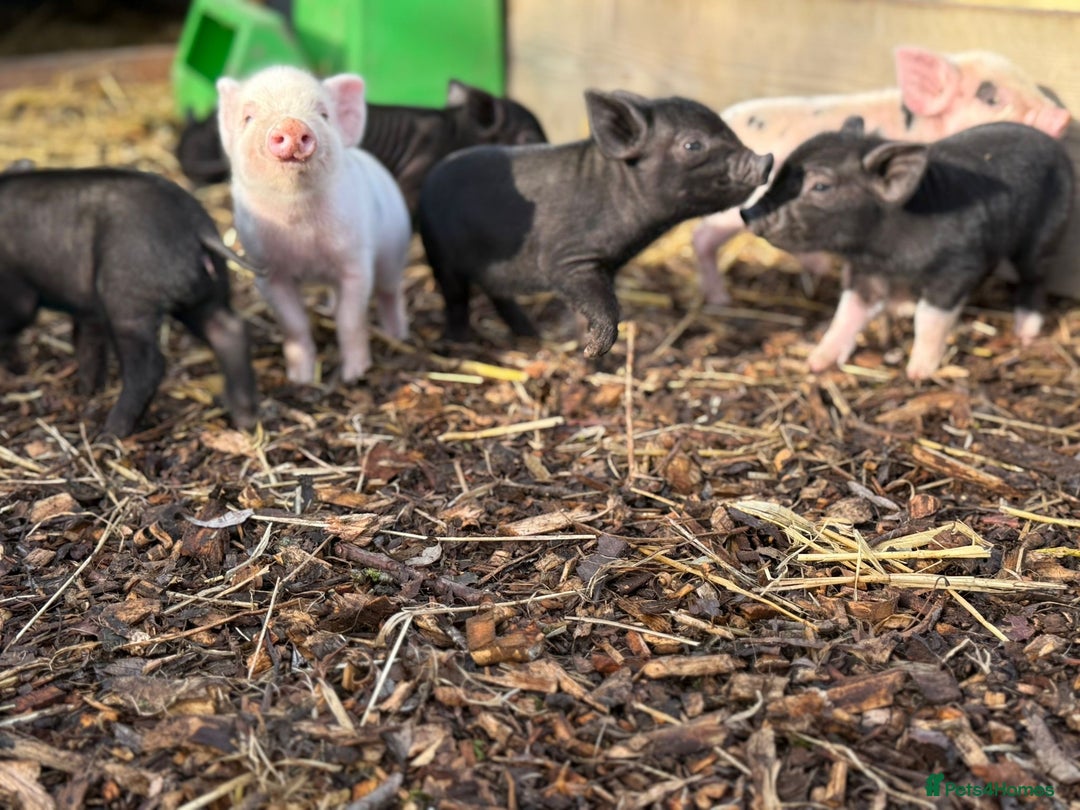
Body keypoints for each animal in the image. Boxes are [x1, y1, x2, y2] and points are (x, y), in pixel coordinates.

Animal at [0, 167, 258, 437]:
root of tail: (197, 228)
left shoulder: (17, 295)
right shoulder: (87, 309)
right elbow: (87, 343)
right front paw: (87, 391)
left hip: (127, 300)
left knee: (148, 366)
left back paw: (110, 432)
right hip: (206, 295)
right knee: (229, 331)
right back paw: (244, 420)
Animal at [217, 66, 412, 384]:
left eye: (324, 114)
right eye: (248, 117)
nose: (291, 124)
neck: (302, 238)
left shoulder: (356, 263)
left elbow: (350, 320)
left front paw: (355, 374)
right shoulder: (267, 273)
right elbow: (294, 324)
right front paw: (300, 379)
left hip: (394, 250)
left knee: (389, 292)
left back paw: (398, 335)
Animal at [417, 89, 773, 357]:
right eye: (692, 145)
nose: (766, 159)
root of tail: (432, 176)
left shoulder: (606, 266)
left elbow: (591, 305)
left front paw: (584, 350)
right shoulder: (567, 259)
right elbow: (603, 305)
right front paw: (594, 350)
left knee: (499, 296)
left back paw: (531, 335)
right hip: (439, 252)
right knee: (455, 299)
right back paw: (458, 344)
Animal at [695, 46, 1072, 305]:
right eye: (990, 96)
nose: (1063, 116)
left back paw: (818, 267)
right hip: (727, 214)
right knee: (702, 237)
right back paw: (720, 300)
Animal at [740, 117, 1074, 380]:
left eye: (821, 186)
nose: (747, 213)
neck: (884, 253)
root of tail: (1058, 149)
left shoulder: (959, 267)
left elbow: (929, 317)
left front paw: (918, 373)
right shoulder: (864, 271)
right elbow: (848, 312)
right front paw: (815, 363)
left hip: (1043, 236)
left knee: (1035, 278)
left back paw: (1024, 332)